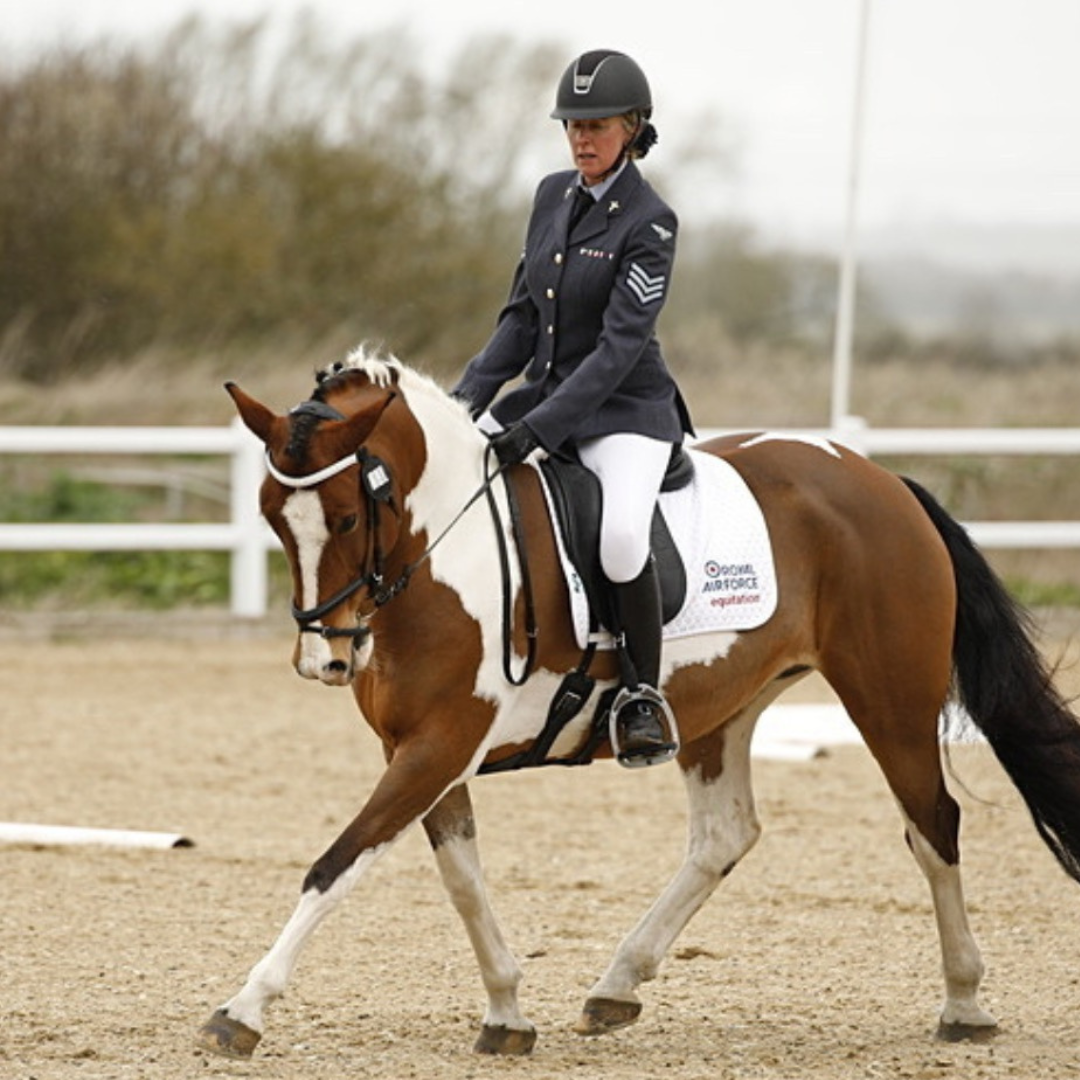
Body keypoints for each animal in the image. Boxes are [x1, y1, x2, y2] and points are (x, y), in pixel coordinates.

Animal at [196, 345, 1080, 1060]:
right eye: (272, 518)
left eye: (348, 517)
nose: (327, 658)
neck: (443, 553)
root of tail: (880, 478)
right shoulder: (423, 749)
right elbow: (462, 881)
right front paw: (507, 1014)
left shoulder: (440, 742)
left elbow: (338, 863)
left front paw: (242, 1010)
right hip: (722, 706)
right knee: (726, 835)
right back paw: (617, 984)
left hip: (890, 696)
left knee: (933, 825)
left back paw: (964, 1003)